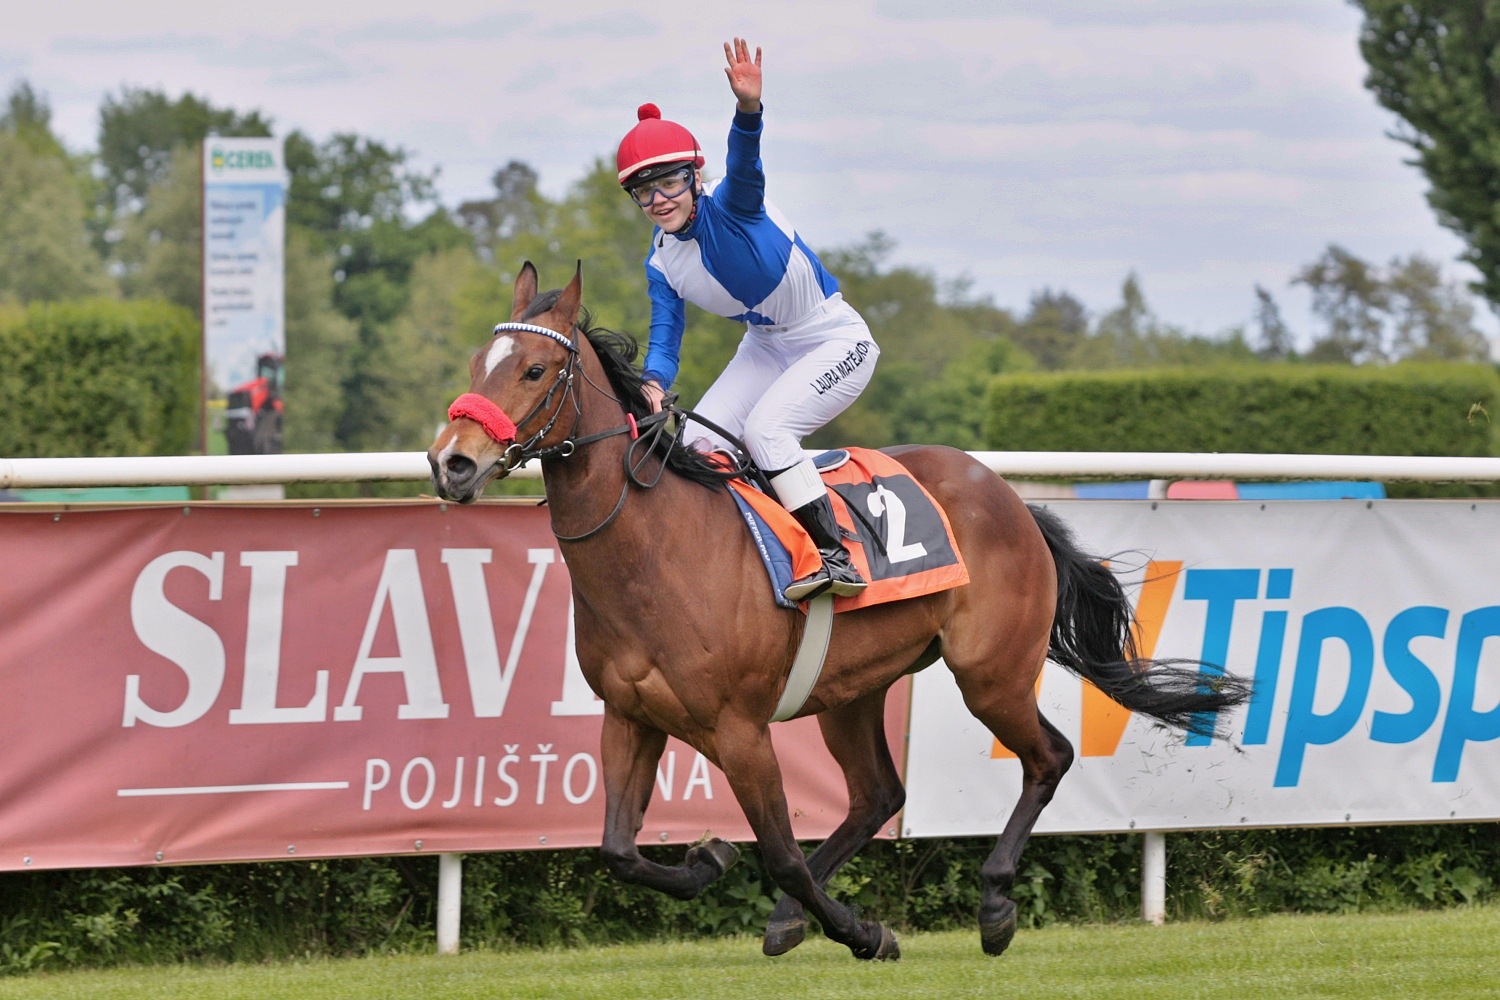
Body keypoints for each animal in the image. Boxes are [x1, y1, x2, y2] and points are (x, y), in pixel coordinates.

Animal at [428, 263, 1250, 961]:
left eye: (535, 370)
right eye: (474, 366)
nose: (453, 462)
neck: (655, 553)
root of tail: (1012, 499)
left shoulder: (740, 729)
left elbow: (782, 855)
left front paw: (863, 931)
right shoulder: (630, 716)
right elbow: (619, 851)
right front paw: (707, 860)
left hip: (991, 673)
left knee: (1048, 757)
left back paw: (992, 905)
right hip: (852, 689)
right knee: (879, 793)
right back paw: (798, 918)